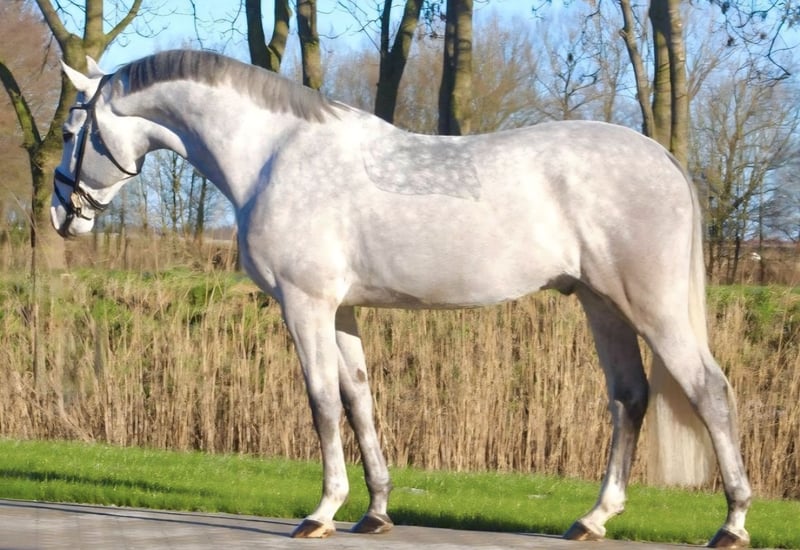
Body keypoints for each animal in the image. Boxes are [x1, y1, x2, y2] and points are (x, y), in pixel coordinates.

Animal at [51, 49, 751, 547]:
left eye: (69, 129)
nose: (62, 214)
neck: (273, 155)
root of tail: (662, 158)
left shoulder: (304, 304)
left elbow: (321, 403)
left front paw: (322, 512)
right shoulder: (341, 311)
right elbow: (359, 400)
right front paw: (376, 511)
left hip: (652, 306)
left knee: (709, 391)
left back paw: (732, 523)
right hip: (601, 304)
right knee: (629, 398)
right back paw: (594, 518)